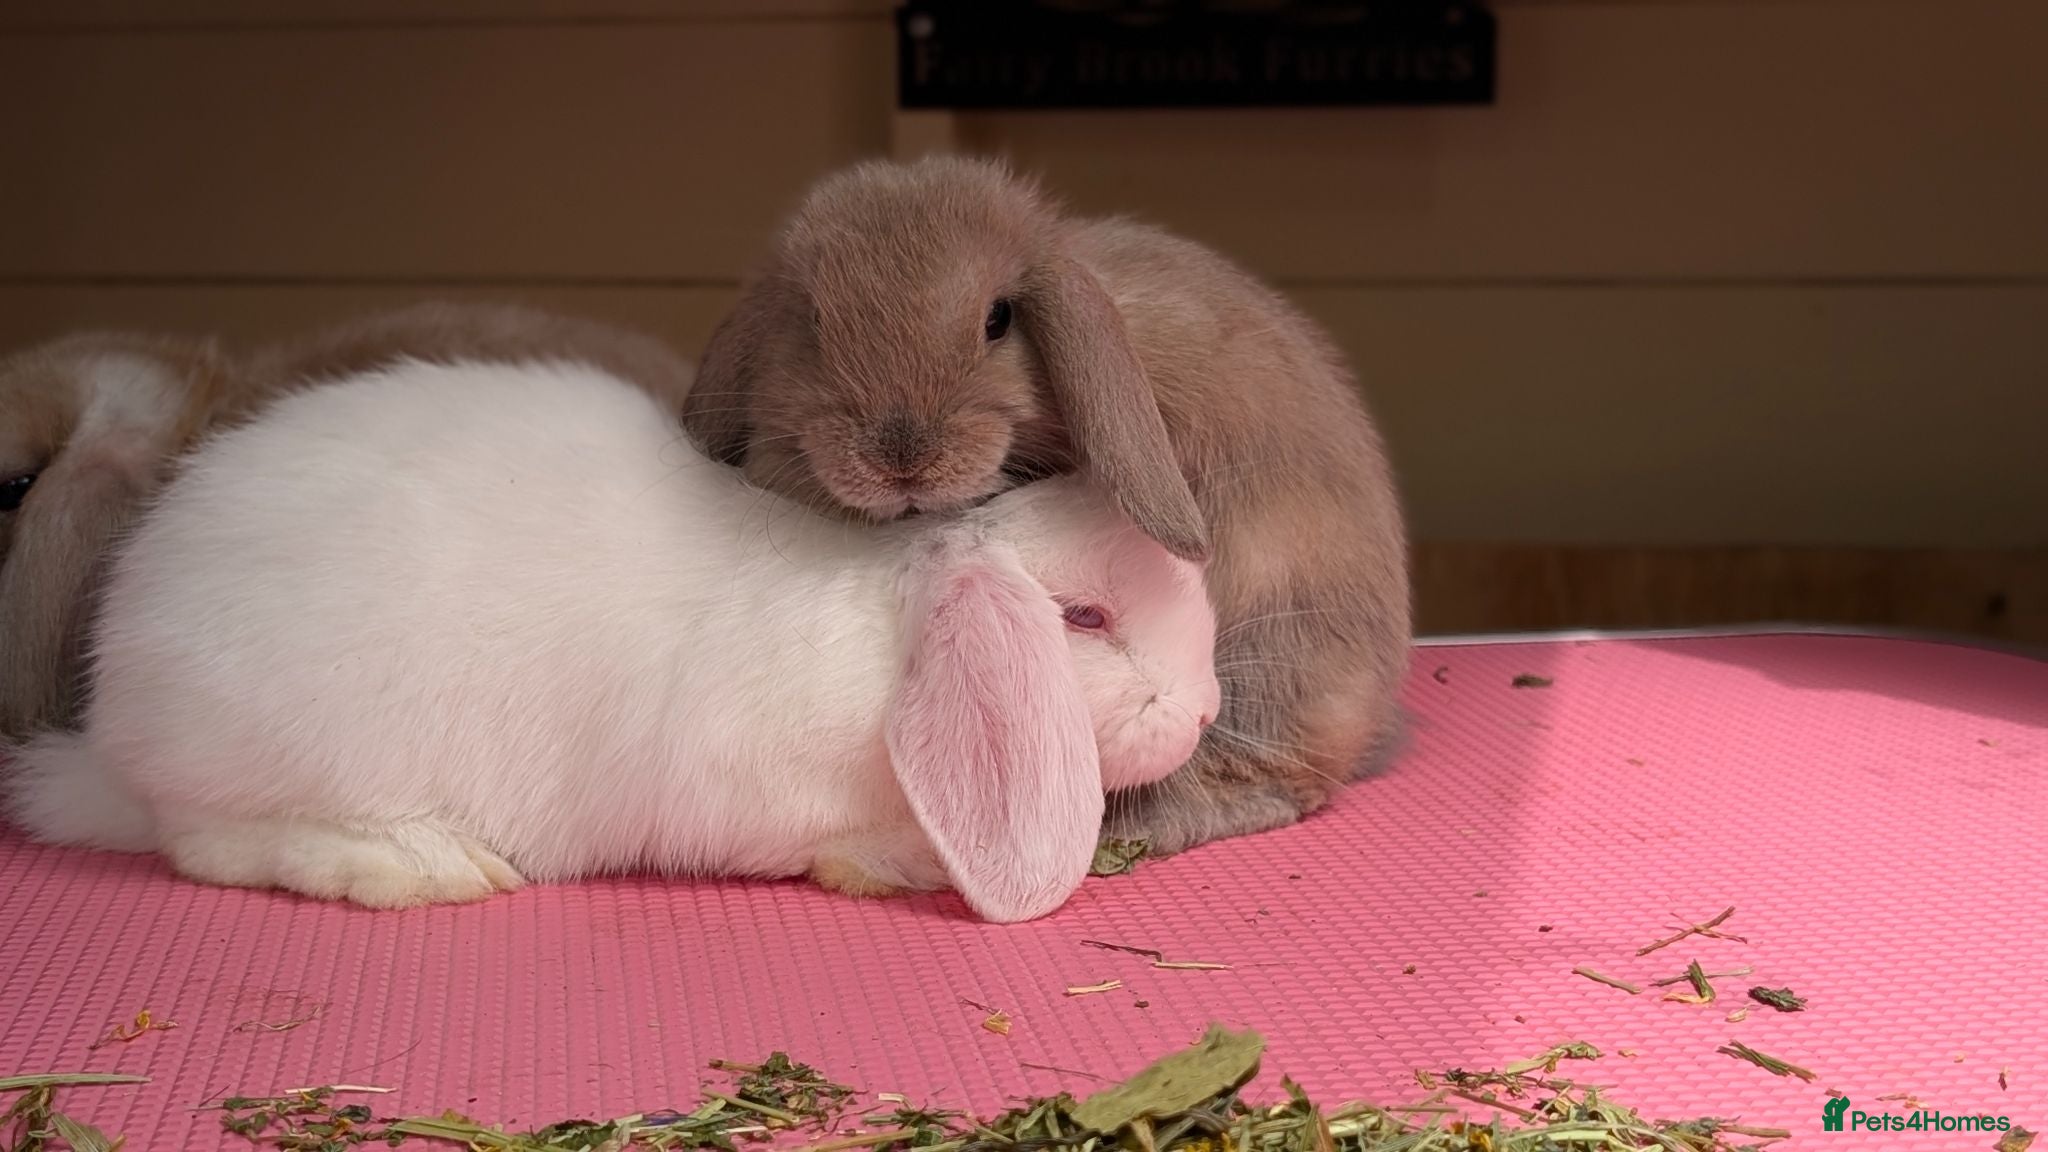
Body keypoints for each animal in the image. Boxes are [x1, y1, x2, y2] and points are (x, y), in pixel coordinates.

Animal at [3, 358, 1220, 924]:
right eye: (1084, 618)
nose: (1206, 707)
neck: (888, 632)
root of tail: (110, 736)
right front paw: (903, 863)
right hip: (295, 751)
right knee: (212, 843)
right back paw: (425, 865)